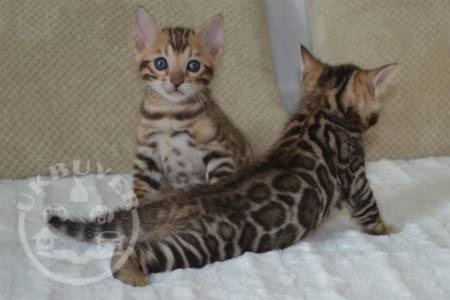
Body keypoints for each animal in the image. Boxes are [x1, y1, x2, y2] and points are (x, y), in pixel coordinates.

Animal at [47, 46, 396, 286]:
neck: (321, 107)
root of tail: (176, 201)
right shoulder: (356, 177)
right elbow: (369, 210)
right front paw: (387, 230)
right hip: (192, 247)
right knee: (129, 252)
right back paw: (133, 276)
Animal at [133, 7, 253, 204]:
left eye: (193, 66)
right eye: (160, 63)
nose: (176, 82)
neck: (170, 114)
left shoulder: (218, 152)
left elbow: (218, 188)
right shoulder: (146, 153)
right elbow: (141, 193)